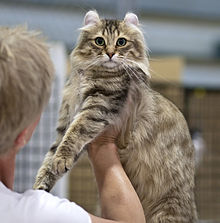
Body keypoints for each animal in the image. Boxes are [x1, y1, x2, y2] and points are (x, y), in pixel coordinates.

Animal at [34, 10, 198, 223]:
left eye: (121, 42)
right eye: (99, 41)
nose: (110, 53)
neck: (92, 73)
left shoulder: (97, 107)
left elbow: (73, 136)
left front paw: (61, 161)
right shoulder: (66, 120)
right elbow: (51, 155)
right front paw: (39, 187)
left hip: (166, 211)